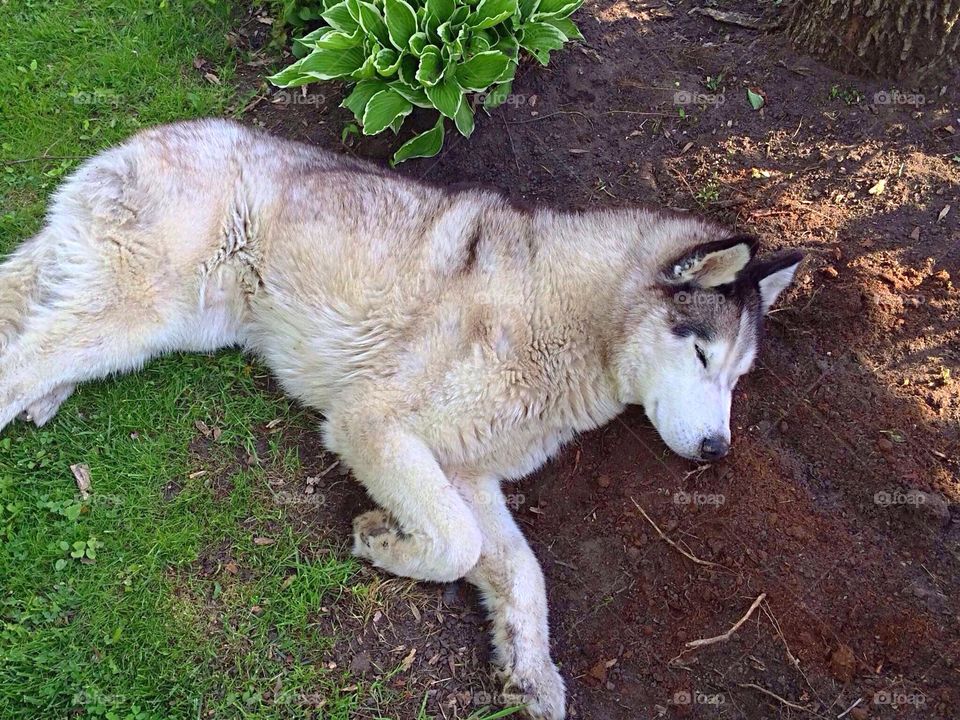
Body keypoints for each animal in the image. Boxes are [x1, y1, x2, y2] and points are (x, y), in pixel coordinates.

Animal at [0, 121, 804, 716]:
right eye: (700, 356)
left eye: (738, 378)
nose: (717, 449)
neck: (567, 324)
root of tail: (151, 135)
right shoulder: (371, 426)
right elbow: (455, 542)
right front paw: (385, 541)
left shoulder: (466, 472)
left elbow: (522, 572)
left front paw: (531, 671)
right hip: (145, 309)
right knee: (22, 358)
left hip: (174, 322)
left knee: (36, 323)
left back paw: (50, 394)